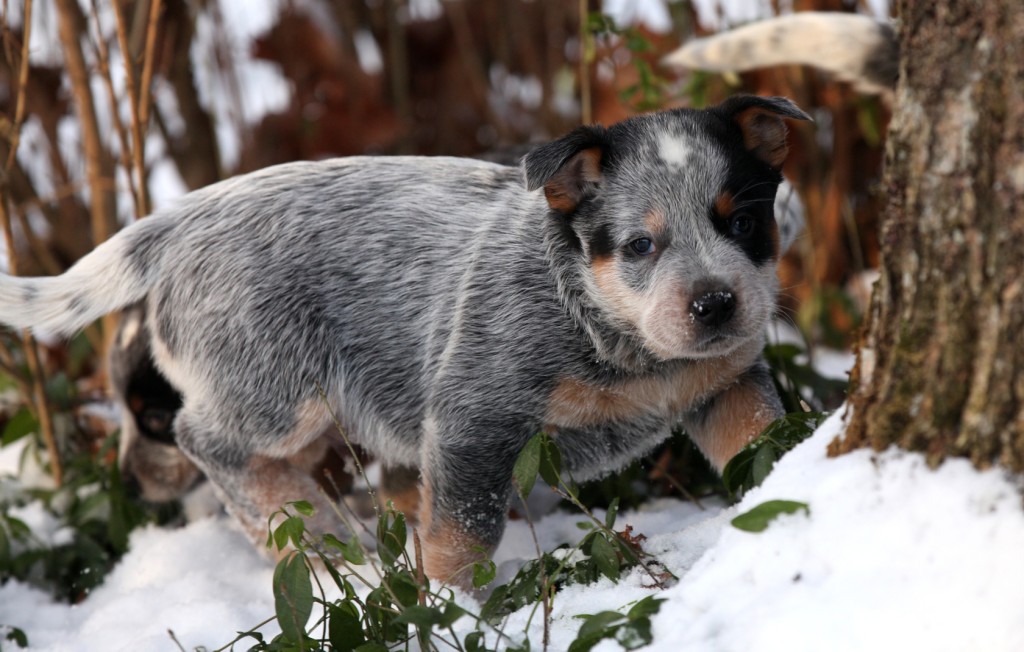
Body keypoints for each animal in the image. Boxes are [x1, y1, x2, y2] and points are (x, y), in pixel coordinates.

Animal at [2, 92, 815, 585]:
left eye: (743, 221)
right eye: (641, 245)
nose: (715, 303)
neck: (626, 343)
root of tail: (176, 222)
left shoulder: (727, 386)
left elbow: (765, 446)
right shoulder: (473, 419)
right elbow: (461, 535)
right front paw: (454, 609)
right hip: (274, 385)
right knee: (207, 438)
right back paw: (308, 525)